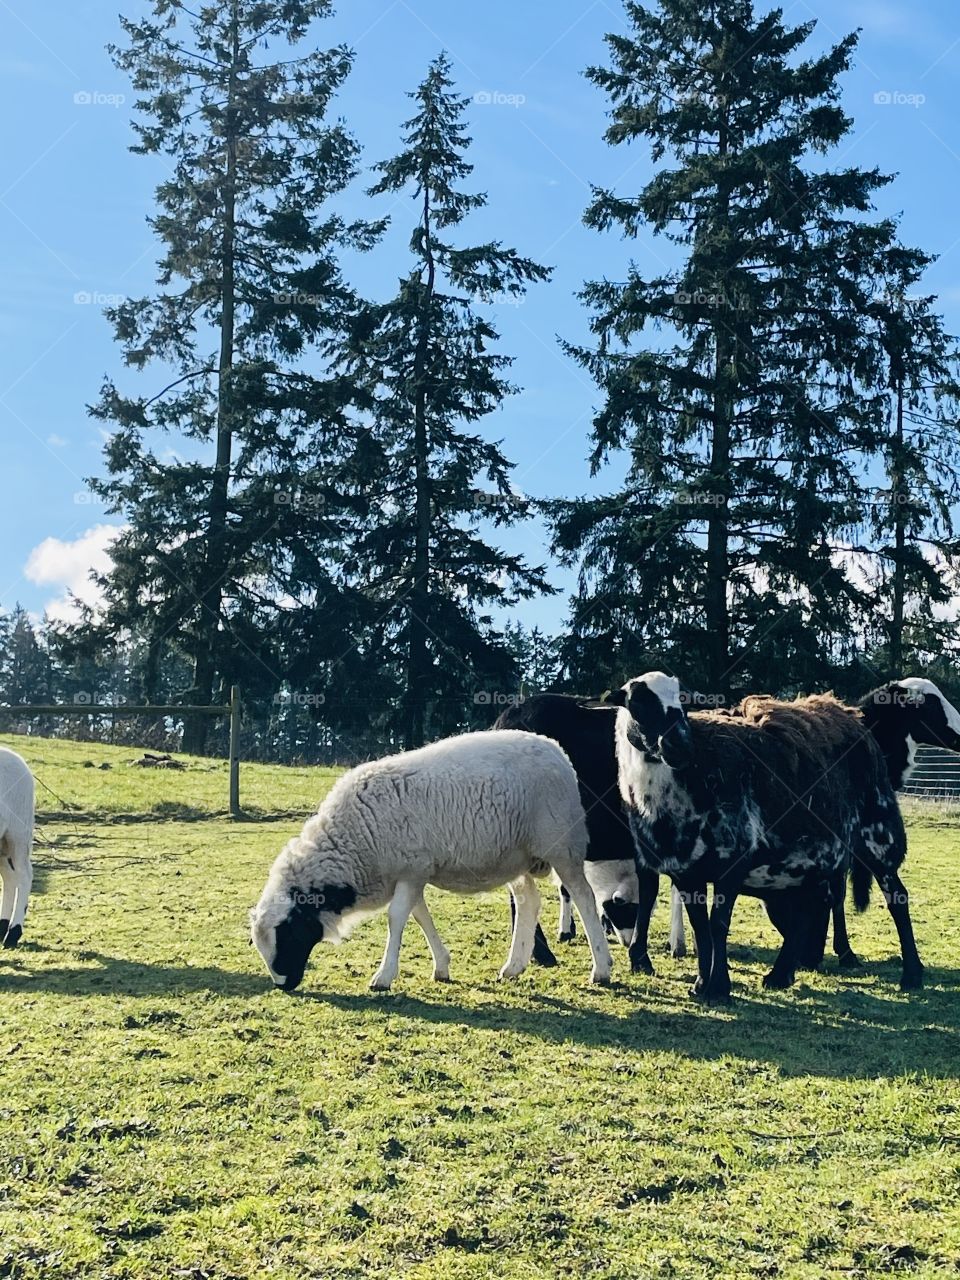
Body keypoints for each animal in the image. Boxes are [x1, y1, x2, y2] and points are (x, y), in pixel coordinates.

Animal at [249, 729, 613, 993]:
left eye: (288, 933)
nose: (283, 986)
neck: (354, 841)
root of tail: (555, 750)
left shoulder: (411, 869)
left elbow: (397, 918)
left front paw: (383, 977)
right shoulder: (412, 873)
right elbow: (419, 916)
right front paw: (441, 966)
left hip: (561, 845)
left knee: (583, 897)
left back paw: (601, 969)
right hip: (516, 856)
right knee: (528, 902)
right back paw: (513, 967)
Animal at [607, 673, 919, 1002]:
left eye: (683, 702)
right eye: (637, 702)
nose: (679, 745)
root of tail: (850, 717)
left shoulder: (733, 859)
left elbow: (718, 924)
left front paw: (718, 987)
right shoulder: (687, 872)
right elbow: (700, 926)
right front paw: (702, 984)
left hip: (878, 838)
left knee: (897, 898)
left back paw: (912, 975)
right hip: (814, 857)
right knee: (811, 907)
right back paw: (781, 974)